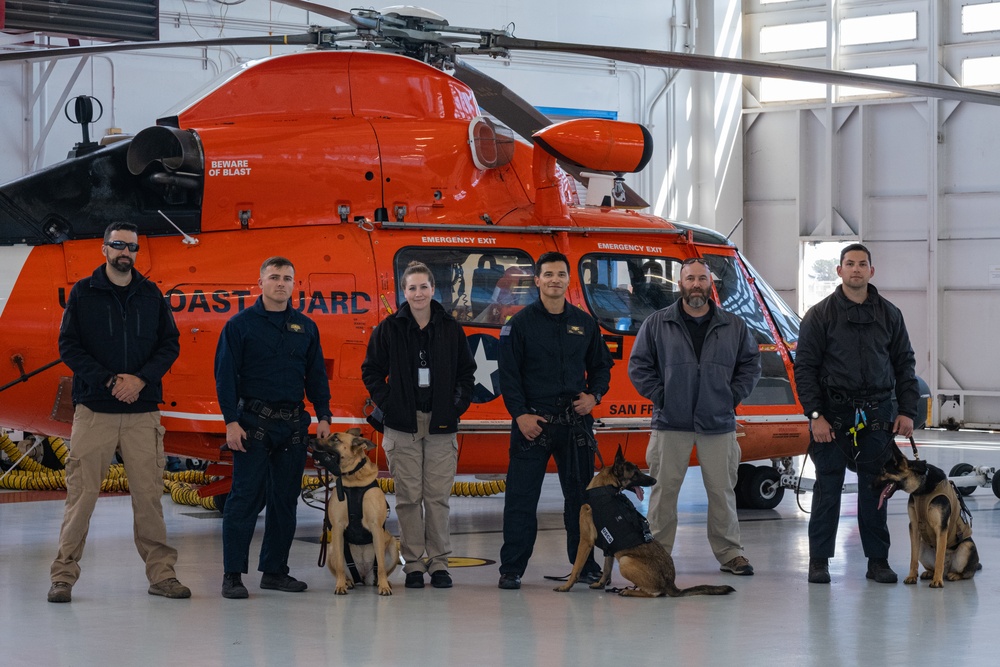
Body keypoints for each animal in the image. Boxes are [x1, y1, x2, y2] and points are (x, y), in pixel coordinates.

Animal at [308, 430, 398, 596]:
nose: (310, 441)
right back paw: (347, 582)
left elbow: (381, 566)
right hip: (331, 549)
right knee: (342, 569)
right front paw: (340, 585)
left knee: (380, 568)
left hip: (393, 545)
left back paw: (381, 582)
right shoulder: (337, 528)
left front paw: (383, 586)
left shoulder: (376, 527)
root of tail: (362, 577)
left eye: (335, 439)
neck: (353, 478)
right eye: (327, 435)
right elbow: (339, 567)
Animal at [556, 446, 736, 596]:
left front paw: (566, 586)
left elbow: (576, 567)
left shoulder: (585, 541)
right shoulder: (610, 548)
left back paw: (629, 591)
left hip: (626, 561)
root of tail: (671, 584)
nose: (654, 481)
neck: (605, 487)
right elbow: (607, 569)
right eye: (635, 474)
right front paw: (600, 584)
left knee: (655, 593)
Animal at [876, 446, 976, 588]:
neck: (921, 488)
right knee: (931, 564)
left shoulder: (941, 527)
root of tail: (947, 569)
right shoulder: (913, 527)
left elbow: (939, 557)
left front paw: (937, 581)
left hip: (967, 546)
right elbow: (913, 557)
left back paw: (953, 575)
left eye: (884, 472)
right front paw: (912, 576)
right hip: (923, 545)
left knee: (967, 572)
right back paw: (929, 573)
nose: (869, 486)